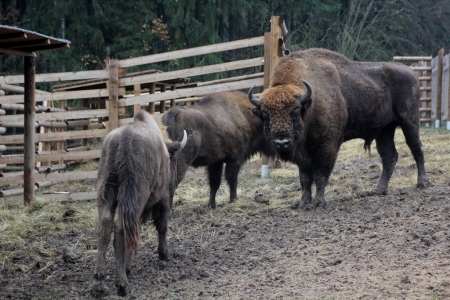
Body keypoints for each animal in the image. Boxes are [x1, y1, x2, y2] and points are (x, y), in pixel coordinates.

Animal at [90, 110, 185, 298]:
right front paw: (163, 254)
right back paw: (121, 284)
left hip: (106, 190)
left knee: (105, 226)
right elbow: (162, 225)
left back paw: (98, 281)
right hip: (136, 195)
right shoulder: (163, 198)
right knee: (121, 229)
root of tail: (125, 138)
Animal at [248, 48, 430, 210]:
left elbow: (320, 175)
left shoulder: (327, 147)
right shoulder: (302, 155)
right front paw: (303, 204)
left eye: (295, 112)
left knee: (416, 148)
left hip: (409, 121)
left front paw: (319, 203)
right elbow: (305, 179)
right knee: (389, 156)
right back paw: (378, 190)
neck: (310, 105)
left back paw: (422, 182)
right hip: (384, 130)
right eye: (265, 115)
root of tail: (410, 71)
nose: (282, 142)